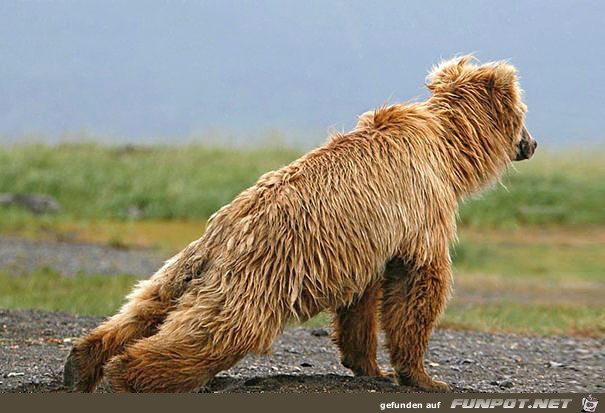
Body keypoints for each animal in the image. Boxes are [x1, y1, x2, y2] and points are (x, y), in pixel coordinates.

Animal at [63, 54, 536, 390]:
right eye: (525, 115)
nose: (532, 144)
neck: (450, 152)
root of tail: (222, 232)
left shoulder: (367, 241)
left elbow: (361, 304)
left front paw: (370, 367)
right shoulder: (422, 211)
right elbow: (418, 285)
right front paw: (424, 376)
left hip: (184, 267)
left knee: (144, 307)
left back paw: (81, 364)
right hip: (259, 274)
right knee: (220, 330)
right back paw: (127, 376)